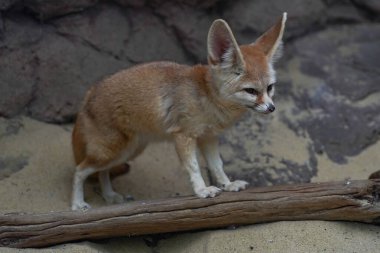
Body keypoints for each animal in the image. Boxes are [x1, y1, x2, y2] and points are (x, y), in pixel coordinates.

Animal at [71, 12, 286, 211]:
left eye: (270, 88)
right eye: (251, 91)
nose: (271, 108)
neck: (207, 97)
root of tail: (89, 94)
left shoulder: (208, 137)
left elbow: (217, 165)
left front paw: (228, 184)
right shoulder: (184, 136)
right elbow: (194, 166)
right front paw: (202, 190)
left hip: (127, 152)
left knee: (102, 172)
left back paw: (109, 196)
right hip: (113, 151)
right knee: (80, 170)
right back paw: (77, 204)